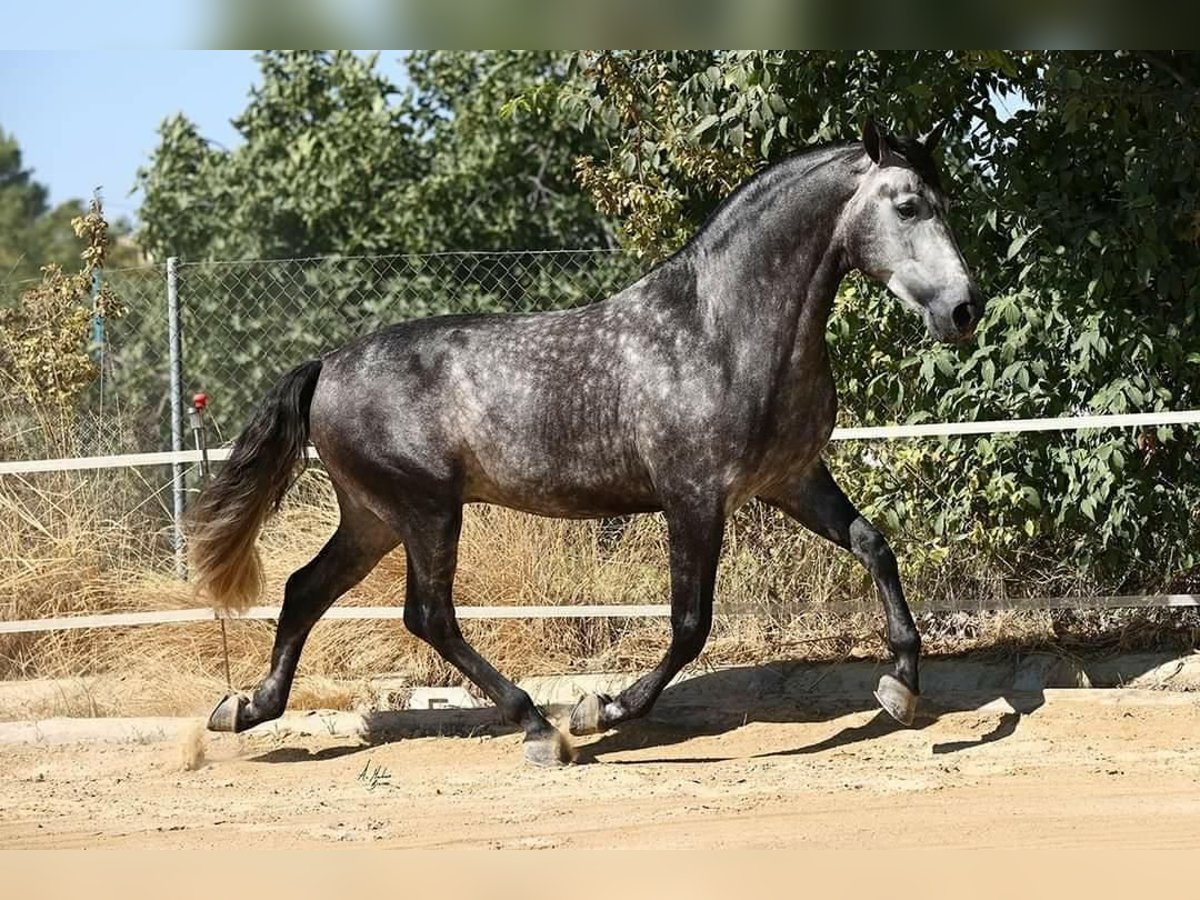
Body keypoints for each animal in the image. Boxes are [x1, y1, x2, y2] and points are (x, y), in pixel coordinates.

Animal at [192, 121, 984, 768]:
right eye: (907, 206)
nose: (963, 309)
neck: (719, 331)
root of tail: (327, 364)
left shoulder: (790, 480)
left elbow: (874, 545)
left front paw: (901, 686)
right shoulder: (693, 499)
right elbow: (690, 624)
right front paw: (601, 709)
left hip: (374, 516)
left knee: (306, 589)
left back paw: (244, 708)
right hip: (425, 510)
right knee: (428, 615)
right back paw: (539, 727)